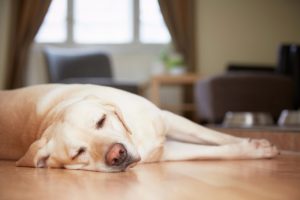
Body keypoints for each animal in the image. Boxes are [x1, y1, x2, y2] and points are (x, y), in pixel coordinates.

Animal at [0, 84, 278, 172]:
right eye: (79, 153)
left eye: (101, 120)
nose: (117, 155)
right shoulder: (167, 152)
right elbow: (210, 151)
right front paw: (254, 149)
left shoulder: (167, 118)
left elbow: (213, 135)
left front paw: (255, 145)